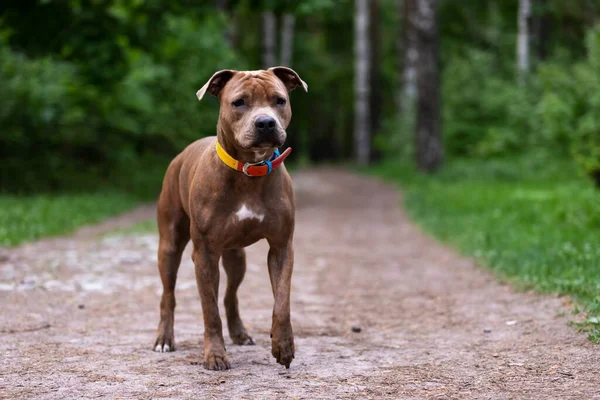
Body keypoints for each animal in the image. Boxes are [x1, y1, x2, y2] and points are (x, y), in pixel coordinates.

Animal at [152, 67, 308, 370]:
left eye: (279, 100)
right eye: (239, 102)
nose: (265, 123)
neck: (249, 170)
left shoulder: (282, 247)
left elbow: (281, 301)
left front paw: (283, 346)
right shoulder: (204, 254)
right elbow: (209, 311)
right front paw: (214, 355)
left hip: (236, 256)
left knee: (230, 295)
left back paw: (239, 333)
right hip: (170, 246)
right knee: (168, 295)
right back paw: (164, 339)